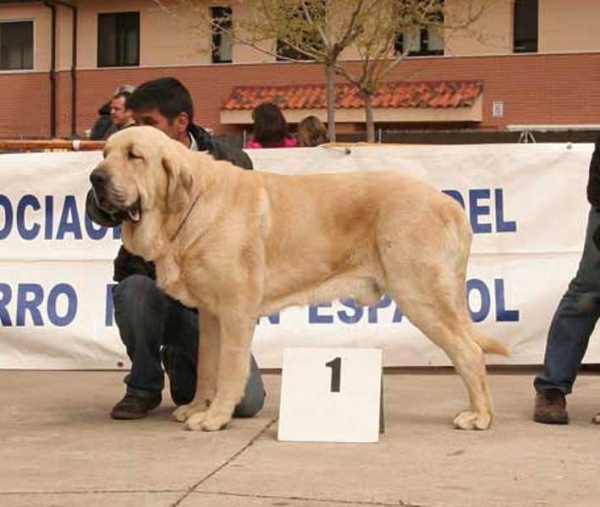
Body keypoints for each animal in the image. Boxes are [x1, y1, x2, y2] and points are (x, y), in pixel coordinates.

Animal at [90, 126, 506, 432]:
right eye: (105, 153)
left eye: (134, 155)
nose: (95, 178)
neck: (188, 208)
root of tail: (450, 204)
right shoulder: (211, 315)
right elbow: (208, 365)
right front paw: (195, 407)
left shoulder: (236, 312)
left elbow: (229, 368)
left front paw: (215, 417)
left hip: (420, 294)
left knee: (469, 352)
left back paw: (480, 415)